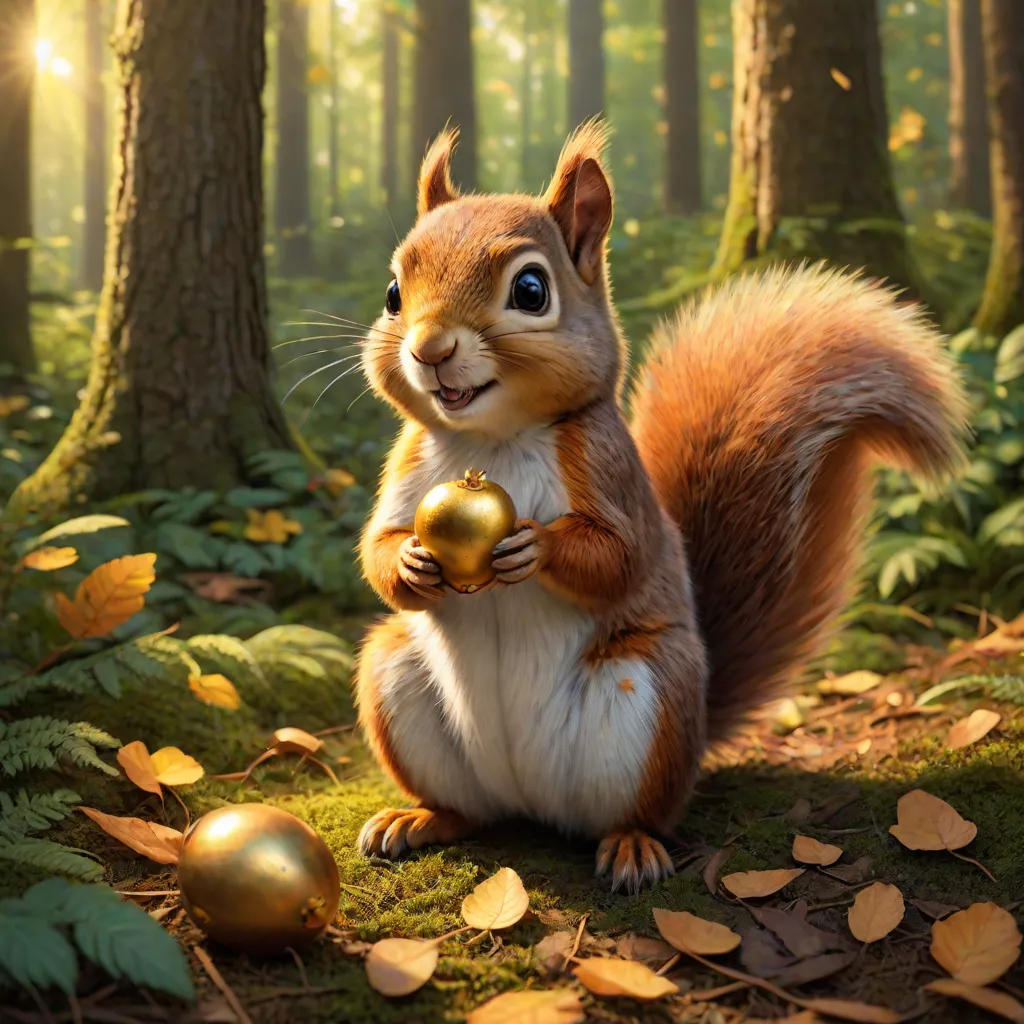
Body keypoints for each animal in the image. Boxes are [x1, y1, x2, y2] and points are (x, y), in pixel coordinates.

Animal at [354, 122, 967, 894]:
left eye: (531, 290)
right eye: (392, 291)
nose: (430, 350)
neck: (489, 442)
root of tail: (528, 799)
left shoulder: (609, 471)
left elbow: (618, 558)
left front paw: (537, 546)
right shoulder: (407, 465)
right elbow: (376, 547)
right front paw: (411, 560)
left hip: (649, 694)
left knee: (635, 811)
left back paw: (632, 847)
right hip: (397, 679)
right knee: (469, 808)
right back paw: (419, 819)